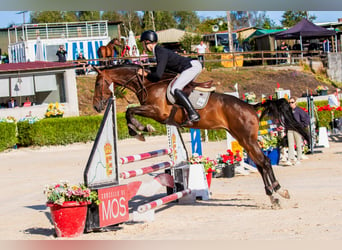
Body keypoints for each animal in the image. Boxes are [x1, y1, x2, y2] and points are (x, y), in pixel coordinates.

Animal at [91, 64, 310, 207]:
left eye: (98, 83)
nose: (97, 107)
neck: (148, 83)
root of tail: (250, 106)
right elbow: (129, 112)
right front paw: (139, 130)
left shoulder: (157, 112)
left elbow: (130, 111)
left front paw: (140, 130)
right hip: (243, 138)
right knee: (260, 162)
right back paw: (275, 193)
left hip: (246, 138)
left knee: (264, 161)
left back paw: (277, 192)